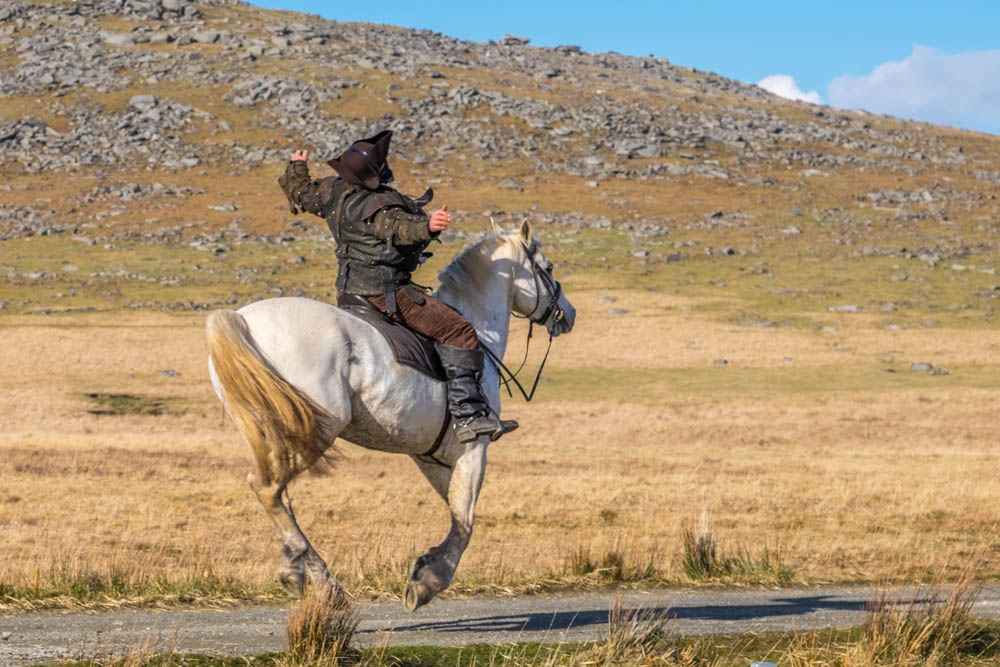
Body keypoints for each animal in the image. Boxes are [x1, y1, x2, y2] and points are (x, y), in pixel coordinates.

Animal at [203, 220, 576, 612]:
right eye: (548, 268)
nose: (569, 315)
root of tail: (242, 319)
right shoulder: (473, 449)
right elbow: (465, 520)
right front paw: (428, 580)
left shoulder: (432, 456)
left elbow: (457, 512)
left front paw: (427, 569)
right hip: (313, 432)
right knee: (268, 488)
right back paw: (315, 578)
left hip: (275, 436)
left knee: (277, 495)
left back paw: (307, 573)